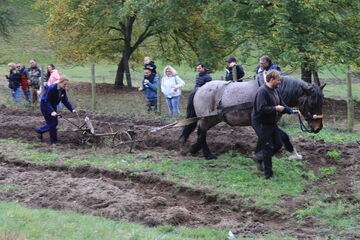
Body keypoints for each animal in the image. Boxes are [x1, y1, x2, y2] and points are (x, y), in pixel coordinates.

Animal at [181, 75, 324, 160]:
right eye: (312, 103)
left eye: (321, 102)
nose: (318, 128)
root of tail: (200, 88)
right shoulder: (259, 122)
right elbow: (281, 136)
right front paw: (293, 154)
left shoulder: (269, 123)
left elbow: (271, 138)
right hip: (205, 118)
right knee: (202, 133)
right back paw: (208, 155)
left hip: (214, 118)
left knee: (201, 132)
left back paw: (194, 149)